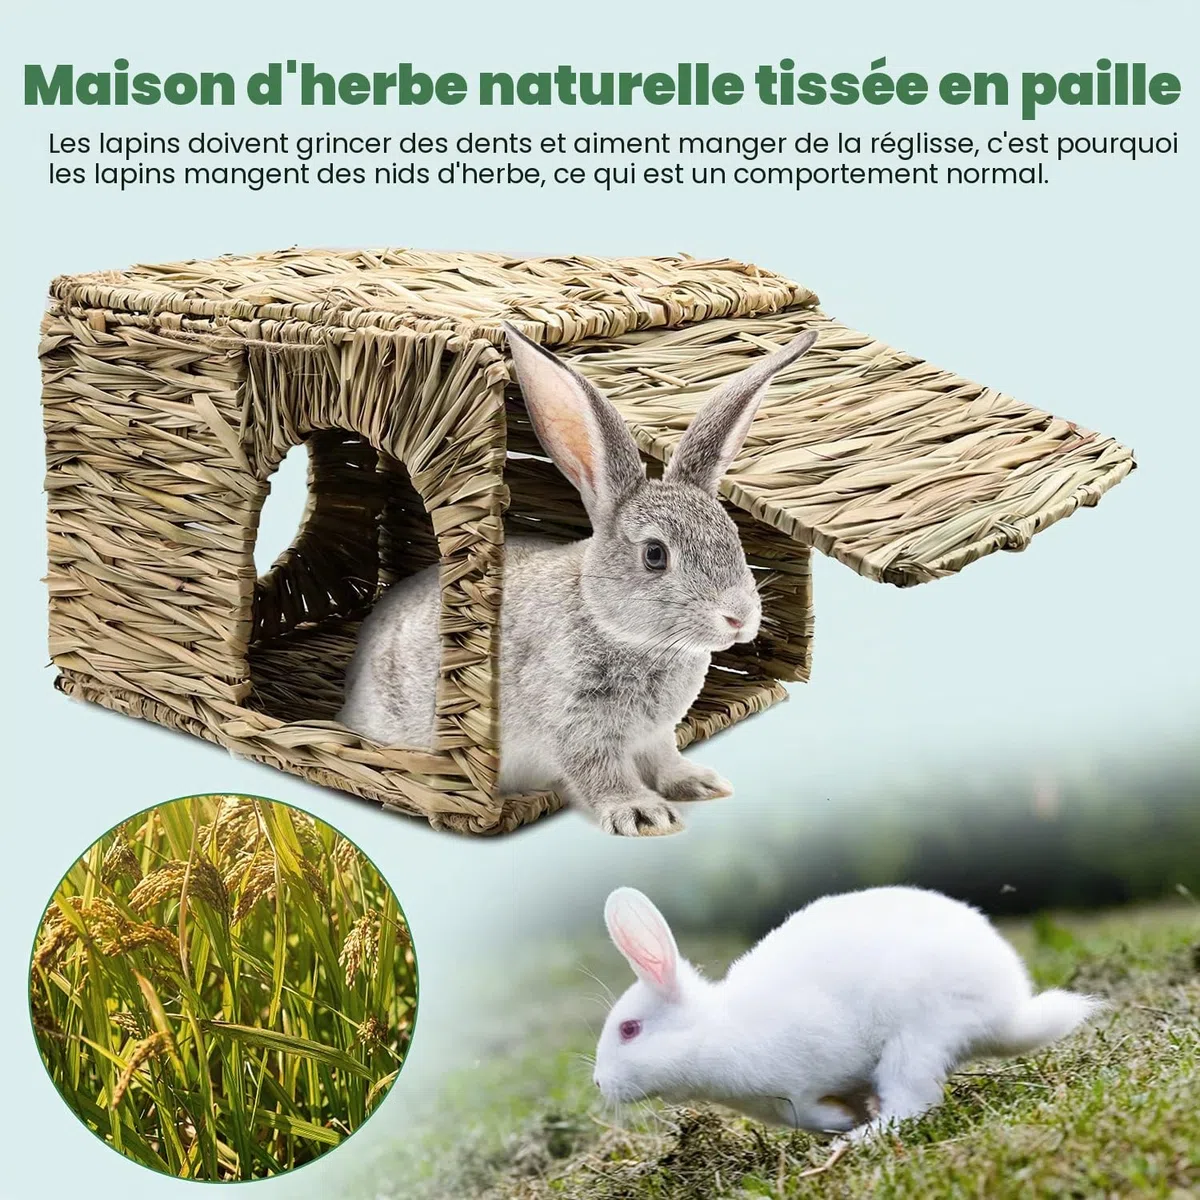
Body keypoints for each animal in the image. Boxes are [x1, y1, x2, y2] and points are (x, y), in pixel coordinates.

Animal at [338, 323, 818, 835]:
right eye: (654, 555)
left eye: (734, 537)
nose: (739, 619)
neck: (617, 628)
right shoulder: (576, 726)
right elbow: (599, 771)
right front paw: (644, 814)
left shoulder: (655, 734)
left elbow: (665, 757)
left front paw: (699, 783)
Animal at [595, 885, 1102, 1138]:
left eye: (630, 1029)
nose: (599, 1084)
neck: (715, 1031)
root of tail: (1007, 1012)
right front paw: (849, 1117)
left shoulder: (797, 1089)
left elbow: (811, 1114)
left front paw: (842, 1125)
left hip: (915, 1042)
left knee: (912, 1105)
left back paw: (859, 1138)